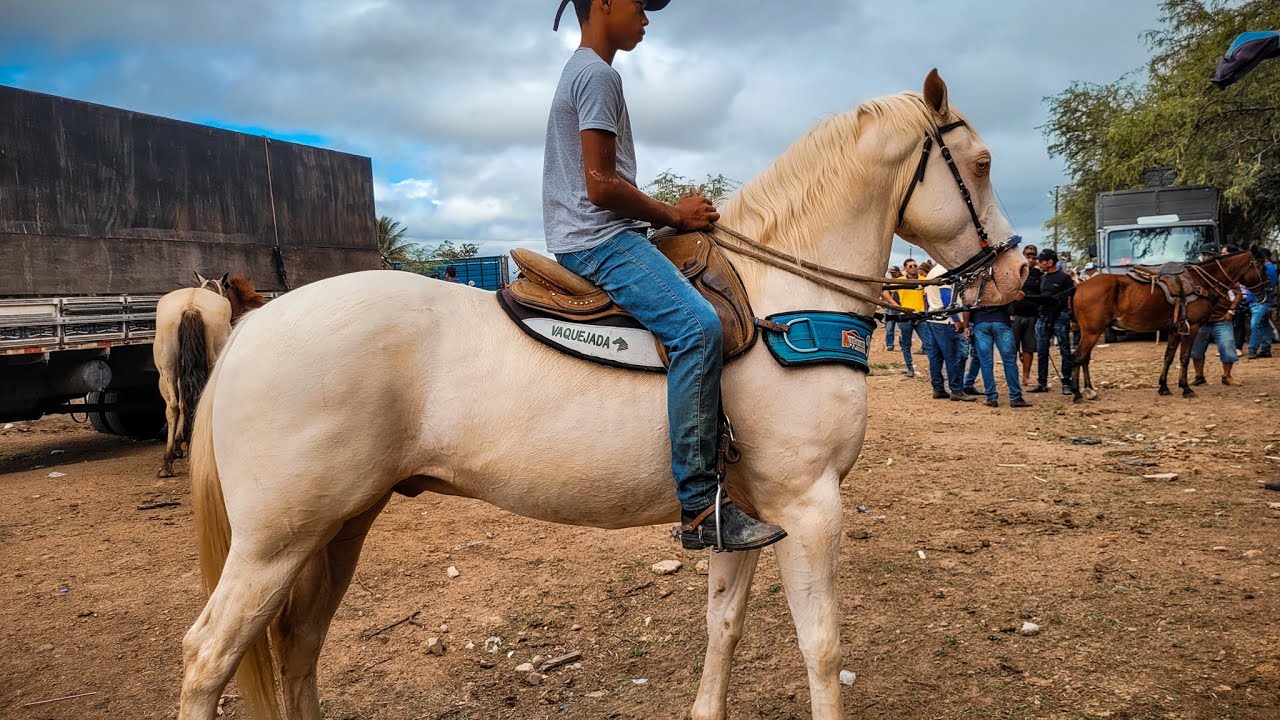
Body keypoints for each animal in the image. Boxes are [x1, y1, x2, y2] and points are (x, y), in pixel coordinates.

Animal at [178, 70, 1027, 720]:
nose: (1017, 274)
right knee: (209, 657)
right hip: (275, 543)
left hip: (340, 528)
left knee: (299, 646)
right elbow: (821, 647)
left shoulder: (749, 516)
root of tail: (254, 324)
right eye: (982, 162)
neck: (782, 298)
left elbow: (724, 626)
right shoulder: (811, 505)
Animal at [1070, 250, 1266, 401]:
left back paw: (1089, 390)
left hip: (1089, 332)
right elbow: (1184, 358)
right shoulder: (1192, 327)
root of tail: (1079, 287)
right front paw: (1186, 388)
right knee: (1079, 357)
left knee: (1085, 358)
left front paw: (1163, 387)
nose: (1266, 290)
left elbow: (1168, 357)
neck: (1201, 283)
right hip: (1092, 332)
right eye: (1261, 267)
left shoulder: (1175, 329)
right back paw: (1077, 393)